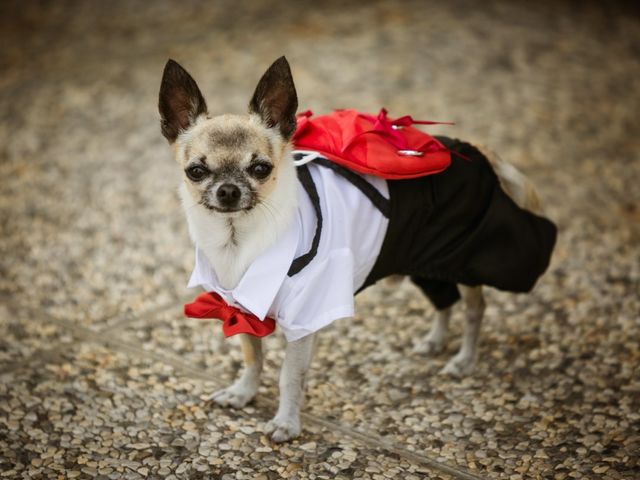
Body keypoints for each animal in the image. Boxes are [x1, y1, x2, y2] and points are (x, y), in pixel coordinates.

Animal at [156, 56, 556, 442]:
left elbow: (289, 377)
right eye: (195, 172)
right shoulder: (238, 309)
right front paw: (244, 392)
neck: (239, 241)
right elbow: (252, 356)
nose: (228, 190)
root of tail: (473, 151)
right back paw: (435, 341)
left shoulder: (303, 322)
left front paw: (286, 422)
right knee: (444, 301)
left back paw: (464, 359)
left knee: (474, 309)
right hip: (421, 259)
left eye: (260, 169)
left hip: (462, 257)